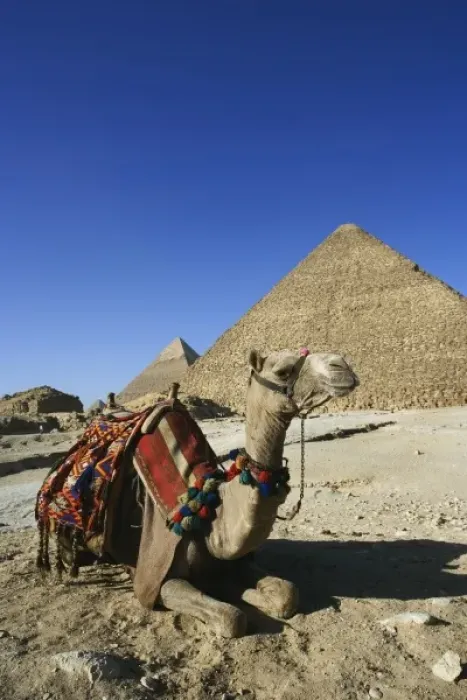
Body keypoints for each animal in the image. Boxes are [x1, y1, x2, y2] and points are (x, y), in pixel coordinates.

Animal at [35, 348, 358, 638]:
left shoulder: (237, 562)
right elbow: (232, 618)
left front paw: (243, 591)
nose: (342, 366)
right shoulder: (156, 579)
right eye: (282, 371)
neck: (207, 509)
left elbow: (287, 594)